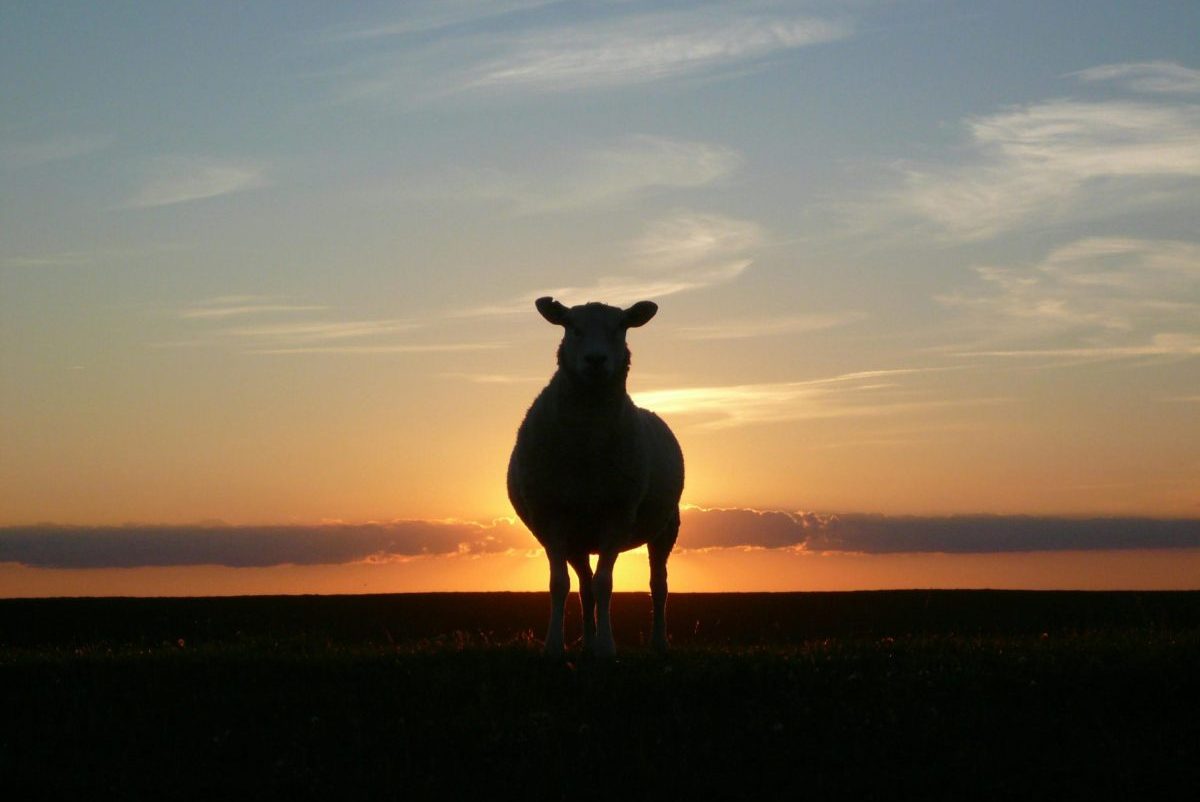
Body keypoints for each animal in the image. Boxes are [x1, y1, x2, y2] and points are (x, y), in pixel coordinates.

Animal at [508, 296, 684, 658]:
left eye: (621, 327)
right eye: (572, 327)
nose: (595, 360)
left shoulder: (617, 514)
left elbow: (606, 584)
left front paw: (606, 647)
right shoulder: (552, 517)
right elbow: (560, 584)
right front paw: (555, 646)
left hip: (666, 527)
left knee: (658, 585)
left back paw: (659, 642)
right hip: (577, 538)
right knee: (584, 587)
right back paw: (587, 644)